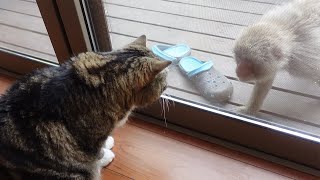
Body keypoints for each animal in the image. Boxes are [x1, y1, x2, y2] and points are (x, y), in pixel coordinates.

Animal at [0, 34, 170, 179]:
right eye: (165, 81)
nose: (168, 86)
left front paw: (107, 144)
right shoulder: (90, 139)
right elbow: (96, 154)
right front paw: (105, 156)